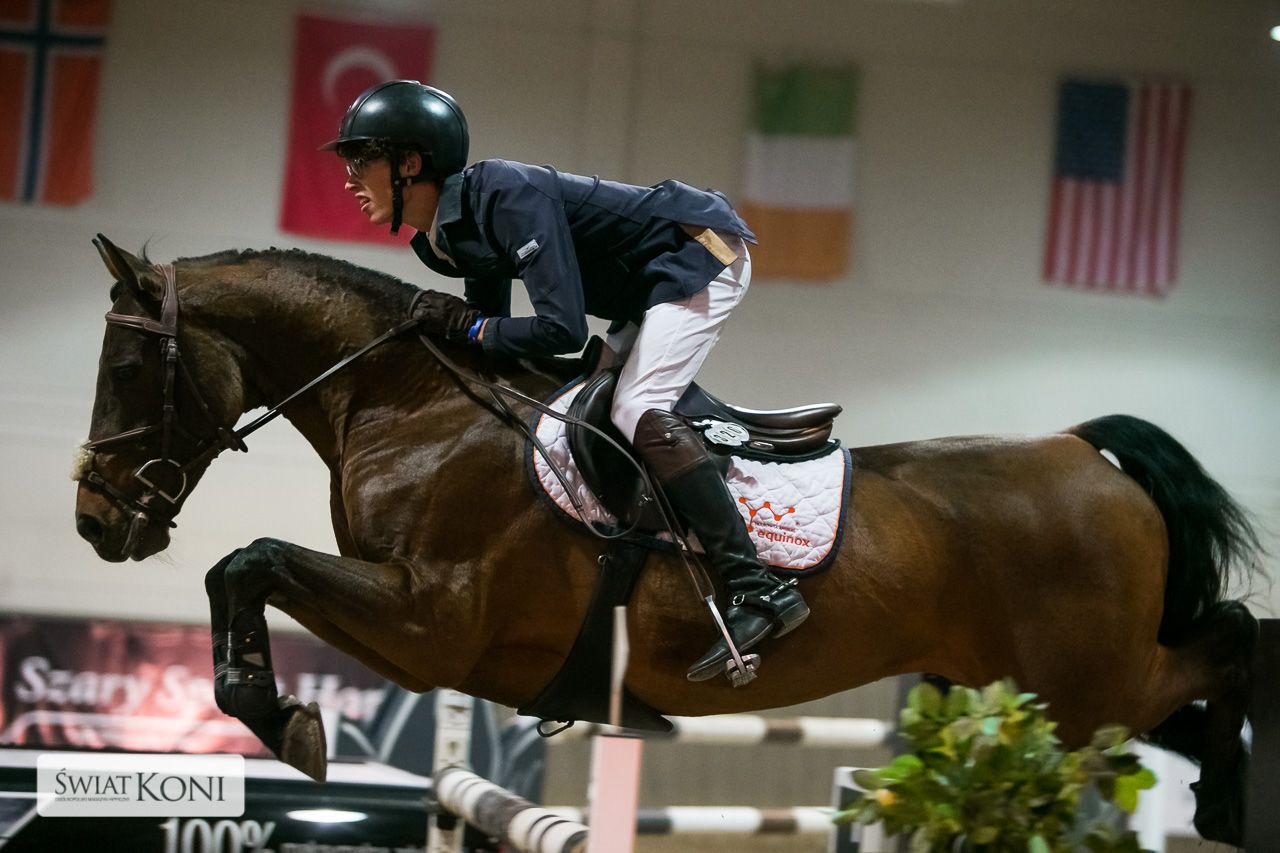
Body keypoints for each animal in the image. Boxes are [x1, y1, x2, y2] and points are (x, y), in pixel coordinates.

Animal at [73, 236, 1264, 845]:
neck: (408, 404)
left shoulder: (431, 626)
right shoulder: (423, 628)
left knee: (1239, 640)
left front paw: (283, 716)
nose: (93, 519)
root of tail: (1083, 450)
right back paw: (1222, 798)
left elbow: (251, 559)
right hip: (1038, 695)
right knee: (1200, 689)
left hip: (1086, 688)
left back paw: (1232, 797)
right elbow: (242, 566)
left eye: (128, 368)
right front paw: (275, 711)